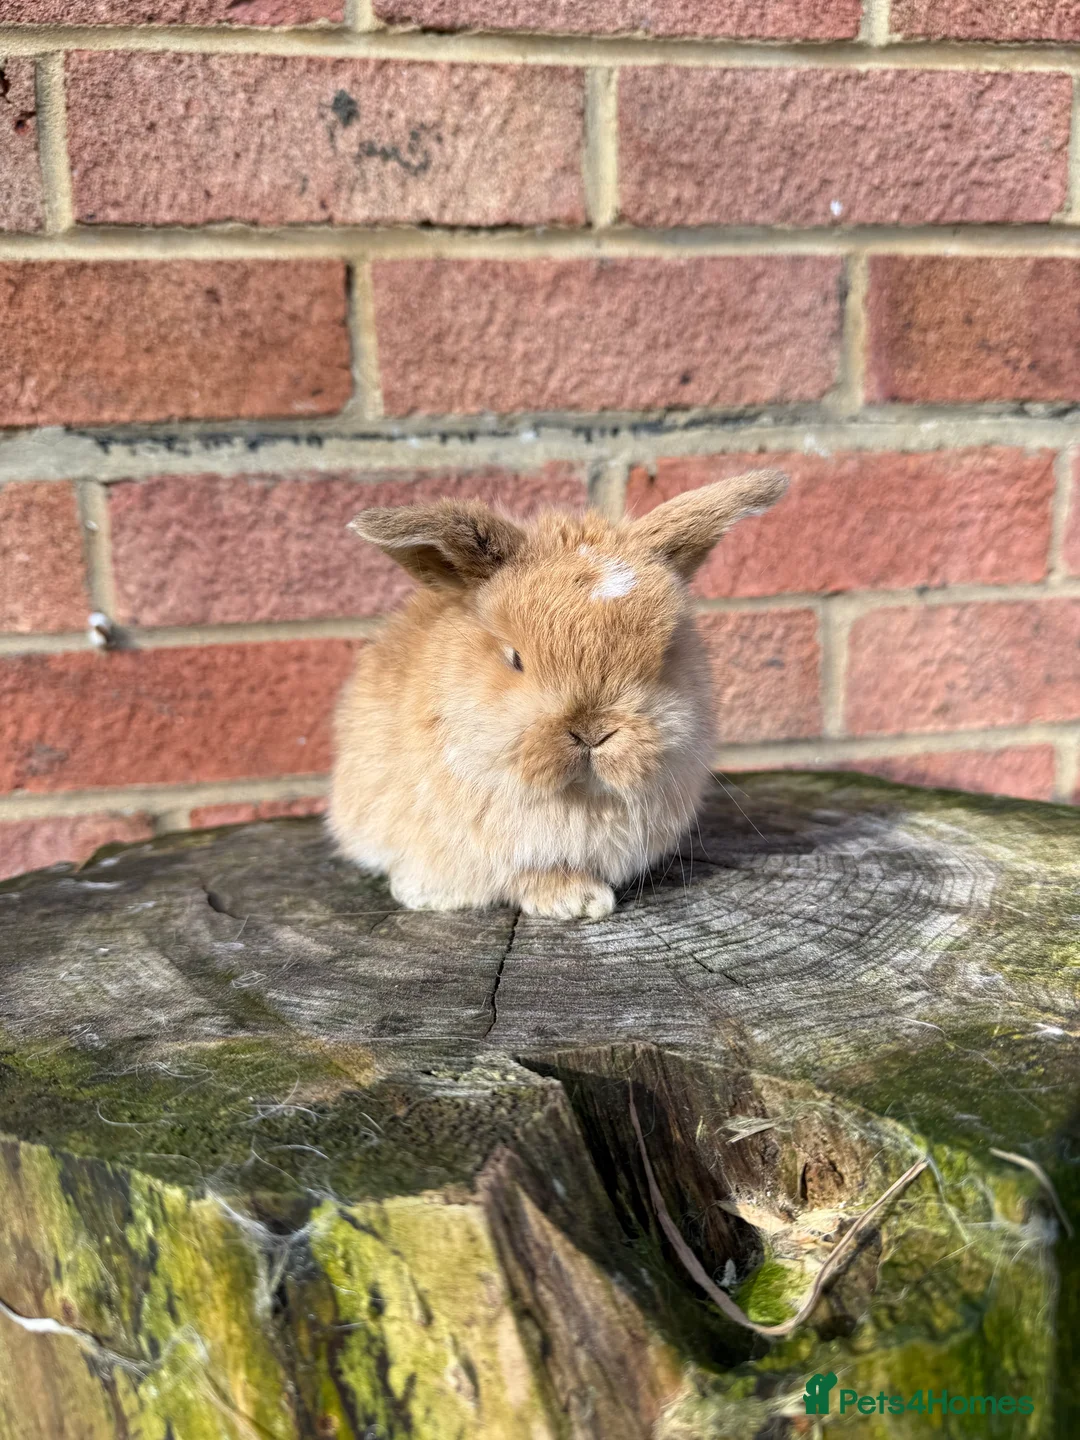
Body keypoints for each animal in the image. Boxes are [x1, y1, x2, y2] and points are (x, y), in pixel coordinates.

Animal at [329, 469, 788, 919]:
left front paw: (580, 901)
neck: (576, 797)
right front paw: (571, 902)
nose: (592, 732)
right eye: (515, 658)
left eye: (665, 653)